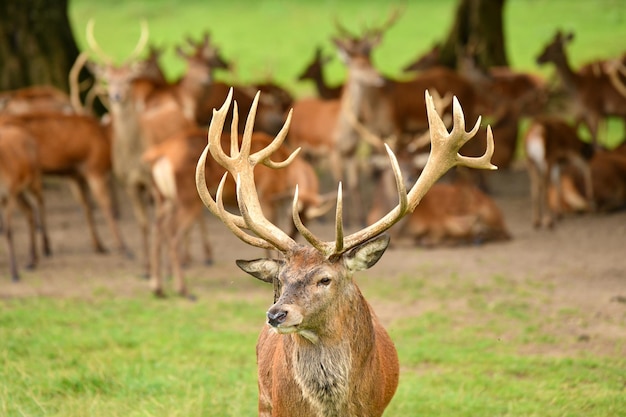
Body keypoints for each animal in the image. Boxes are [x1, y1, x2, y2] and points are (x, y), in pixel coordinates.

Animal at [0, 122, 50, 280]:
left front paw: (14, 274)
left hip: (34, 179)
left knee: (41, 201)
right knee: (29, 210)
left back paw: (47, 249)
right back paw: (32, 261)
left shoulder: (7, 195)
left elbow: (8, 232)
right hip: (19, 192)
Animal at [193, 88, 494, 416]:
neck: (332, 408)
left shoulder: (374, 408)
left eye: (325, 279)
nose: (275, 314)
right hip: (263, 398)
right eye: (280, 280)